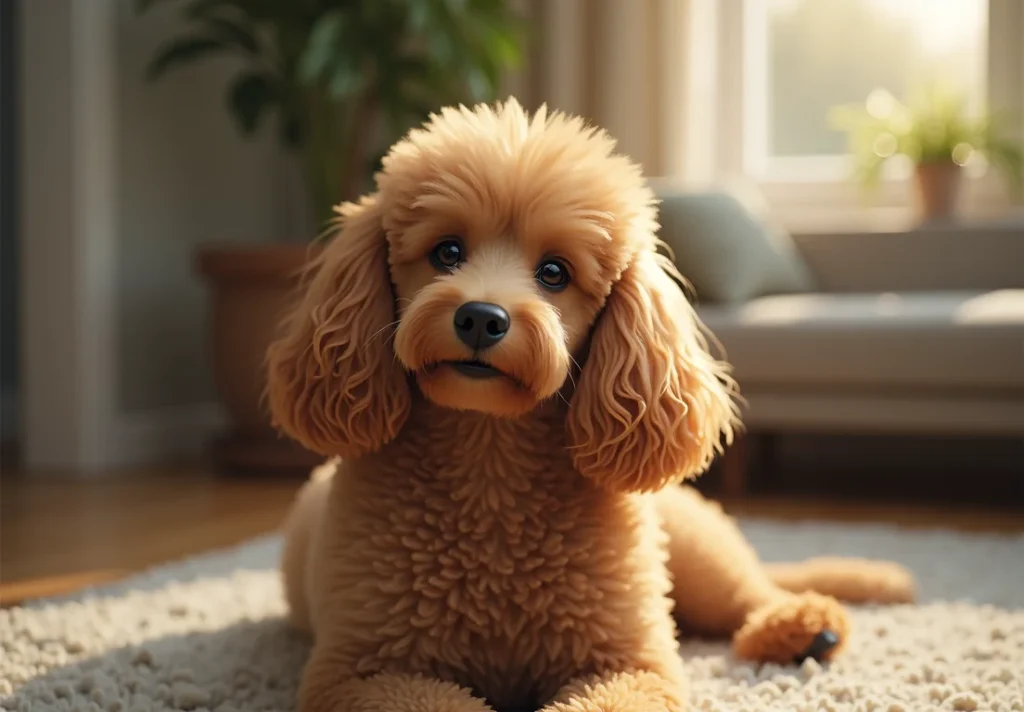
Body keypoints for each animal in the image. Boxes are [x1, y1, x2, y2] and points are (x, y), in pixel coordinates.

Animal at [268, 100, 917, 712]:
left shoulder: (627, 663)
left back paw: (800, 625)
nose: (480, 317)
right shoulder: (363, 671)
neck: (490, 459)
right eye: (447, 252)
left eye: (554, 272)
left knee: (750, 594)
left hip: (696, 551)